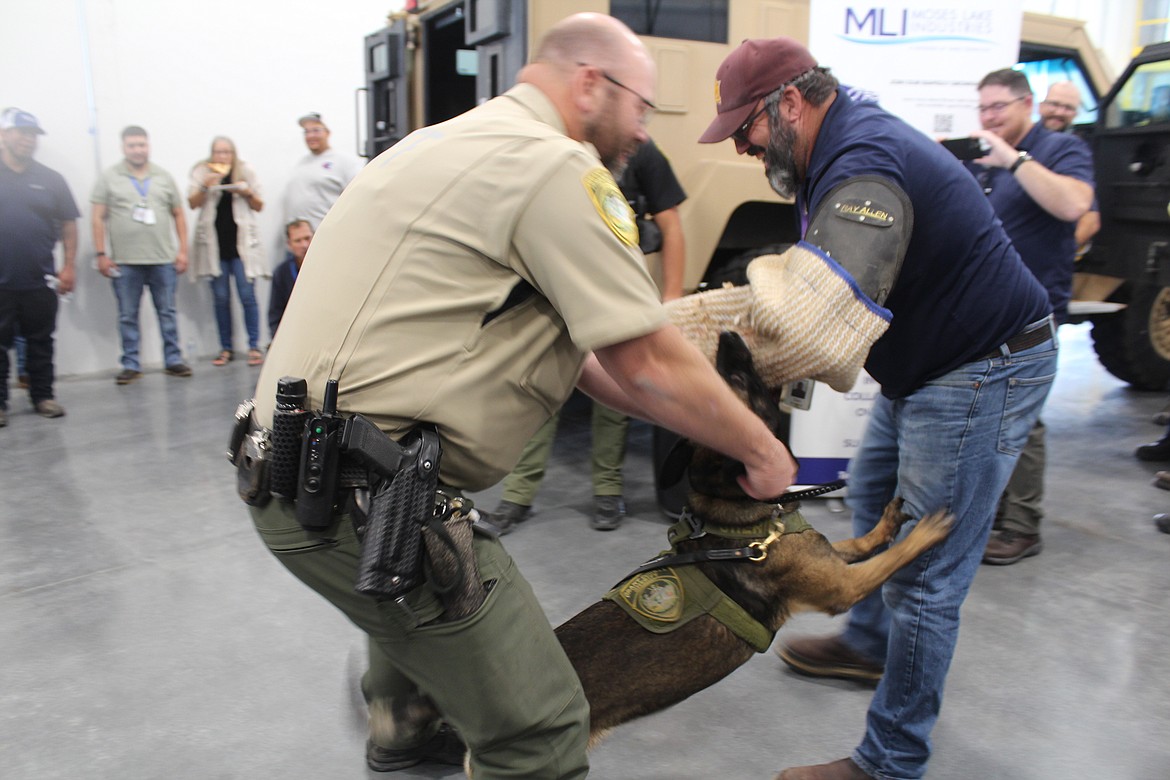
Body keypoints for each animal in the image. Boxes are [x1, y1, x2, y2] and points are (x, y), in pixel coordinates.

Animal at [552, 332, 954, 743]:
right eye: (738, 380)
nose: (728, 335)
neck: (734, 510)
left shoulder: (827, 558)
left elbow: (861, 544)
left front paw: (888, 523)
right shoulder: (844, 587)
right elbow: (894, 557)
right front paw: (927, 531)